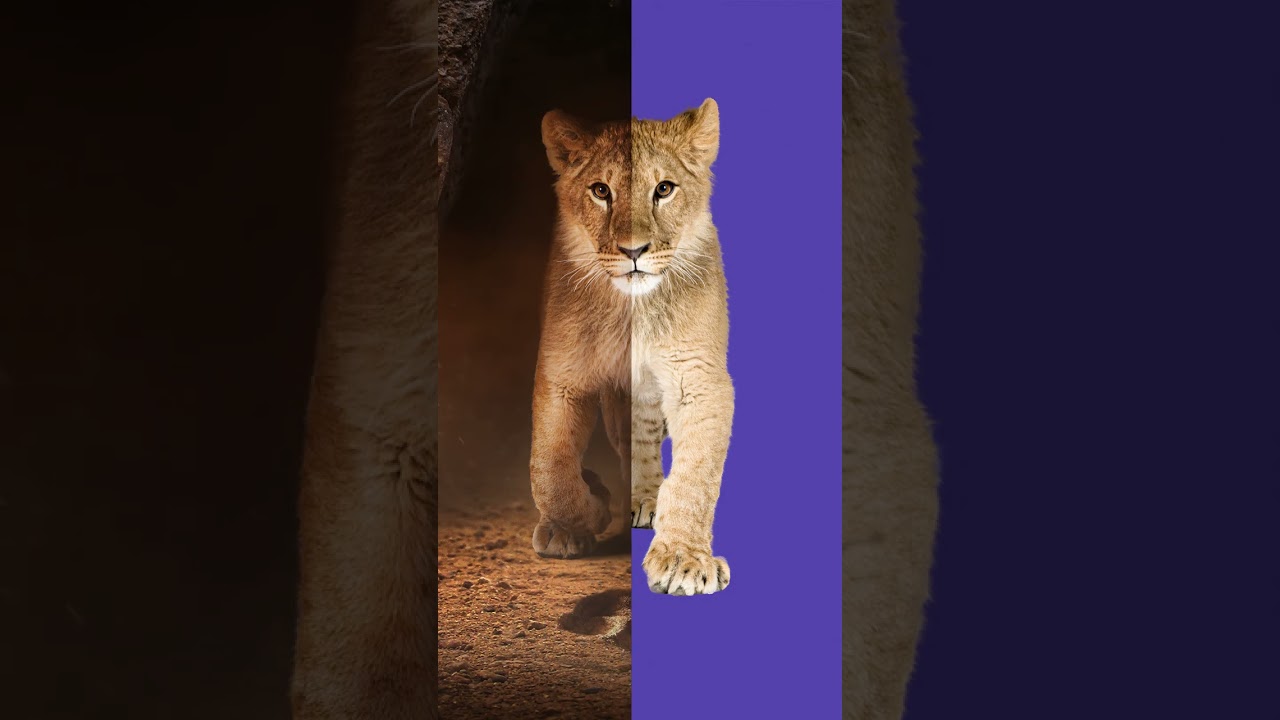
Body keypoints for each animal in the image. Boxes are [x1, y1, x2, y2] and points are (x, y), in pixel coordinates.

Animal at [533, 99, 733, 596]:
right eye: (600, 190)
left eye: (663, 189)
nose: (633, 251)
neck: (633, 310)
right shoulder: (562, 373)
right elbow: (549, 469)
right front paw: (586, 511)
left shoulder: (698, 377)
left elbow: (695, 477)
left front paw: (683, 560)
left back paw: (646, 500)